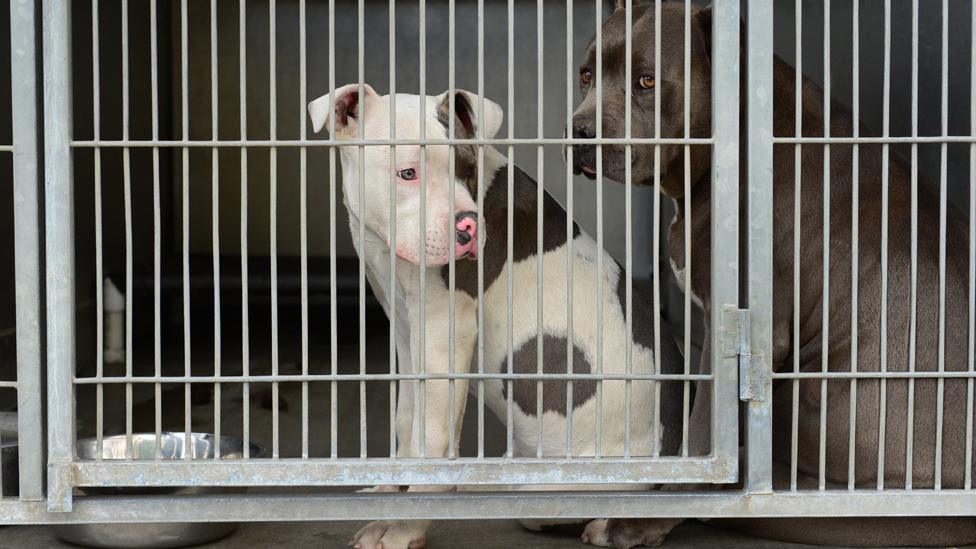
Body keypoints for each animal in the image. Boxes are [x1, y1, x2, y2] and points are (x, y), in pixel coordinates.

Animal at [308, 84, 684, 548]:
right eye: (407, 173)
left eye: (468, 168)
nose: (467, 227)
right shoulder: (408, 328)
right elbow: (408, 419)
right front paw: (389, 495)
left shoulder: (446, 328)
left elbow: (433, 435)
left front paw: (406, 525)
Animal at [572, 1, 976, 548]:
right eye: (586, 75)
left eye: (647, 81)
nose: (578, 133)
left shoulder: (727, 329)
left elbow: (702, 436)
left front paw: (640, 520)